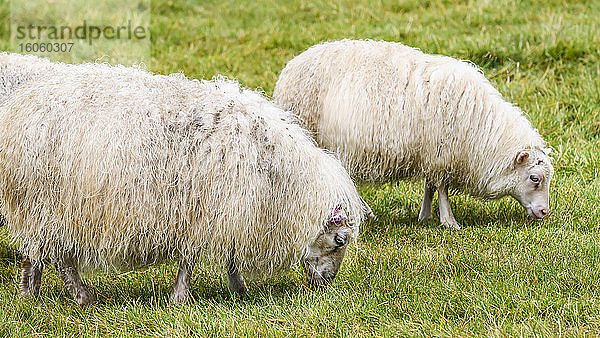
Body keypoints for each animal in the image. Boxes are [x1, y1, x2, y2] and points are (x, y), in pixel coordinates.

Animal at [0, 61, 370, 306]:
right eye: (339, 240)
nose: (325, 285)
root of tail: (19, 109)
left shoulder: (229, 209)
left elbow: (229, 254)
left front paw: (238, 288)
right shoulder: (208, 210)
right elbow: (191, 260)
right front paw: (181, 298)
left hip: (40, 206)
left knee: (35, 253)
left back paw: (29, 295)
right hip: (51, 205)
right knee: (59, 259)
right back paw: (82, 298)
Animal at [274, 39, 556, 230]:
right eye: (534, 178)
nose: (544, 212)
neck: (483, 129)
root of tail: (291, 67)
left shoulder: (432, 154)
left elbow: (431, 185)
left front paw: (426, 215)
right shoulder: (441, 152)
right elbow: (442, 188)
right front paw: (448, 221)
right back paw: (364, 213)